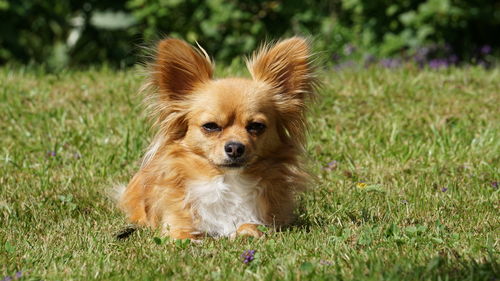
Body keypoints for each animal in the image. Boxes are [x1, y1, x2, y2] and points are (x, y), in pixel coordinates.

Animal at [117, 36, 316, 238]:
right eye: (211, 126)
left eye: (256, 126)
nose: (235, 147)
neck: (229, 182)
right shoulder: (175, 225)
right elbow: (183, 234)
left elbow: (251, 226)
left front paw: (246, 232)